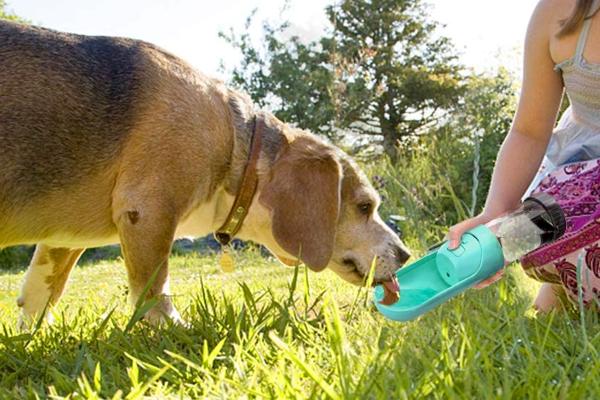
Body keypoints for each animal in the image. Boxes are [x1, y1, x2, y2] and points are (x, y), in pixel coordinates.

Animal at [0, 20, 410, 326]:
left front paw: (30, 336)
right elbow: (154, 289)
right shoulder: (147, 213)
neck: (233, 137)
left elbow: (41, 290)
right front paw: (171, 332)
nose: (405, 254)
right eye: (364, 206)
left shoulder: (63, 238)